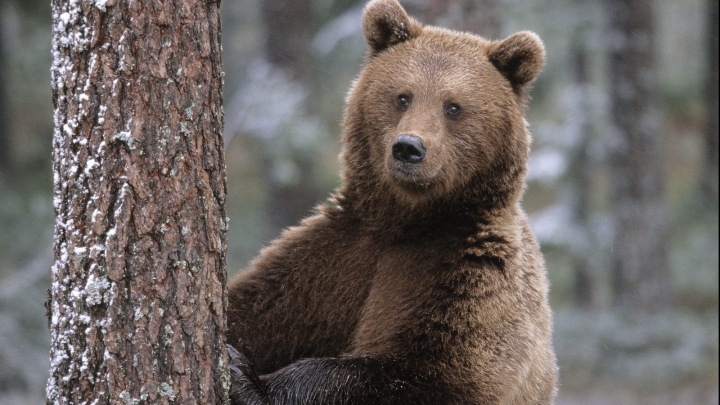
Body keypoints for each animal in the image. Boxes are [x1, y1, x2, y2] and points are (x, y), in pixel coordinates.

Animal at [225, 0, 556, 400]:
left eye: (453, 107)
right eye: (402, 96)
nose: (408, 148)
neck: (407, 220)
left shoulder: (468, 275)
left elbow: (428, 374)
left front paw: (248, 379)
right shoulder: (332, 260)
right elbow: (256, 308)